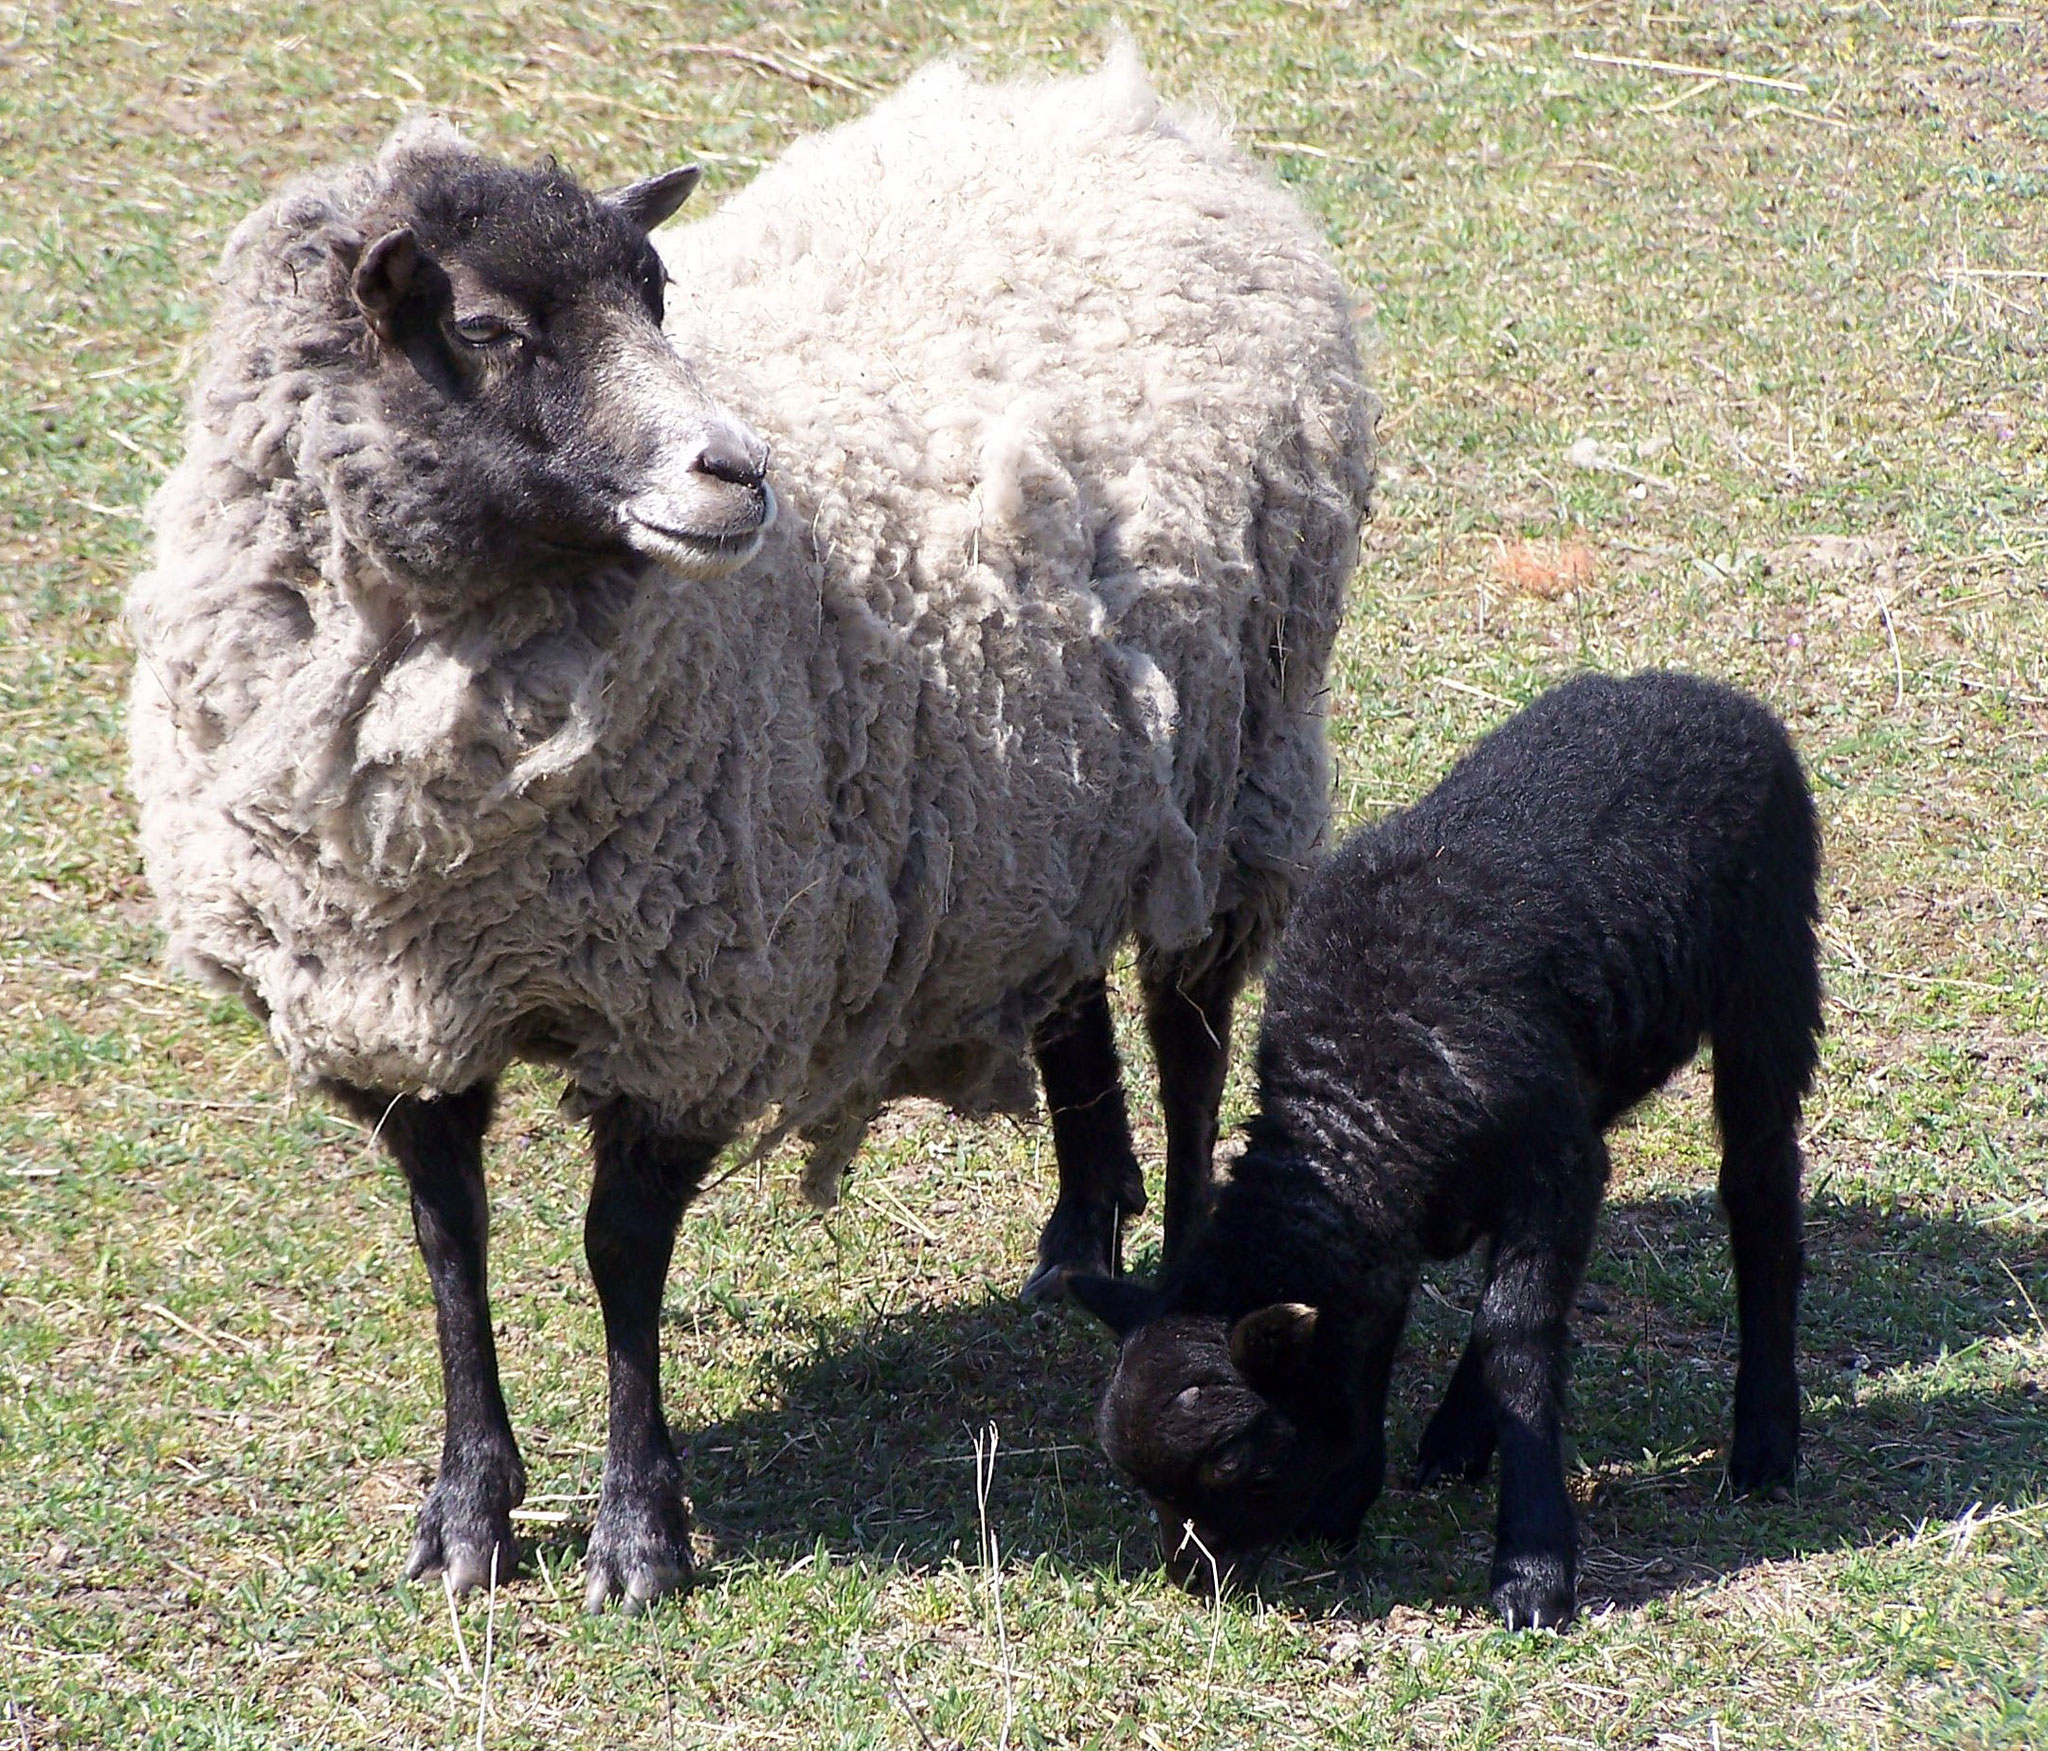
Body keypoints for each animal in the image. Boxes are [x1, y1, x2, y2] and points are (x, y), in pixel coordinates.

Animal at [128, 51, 1376, 1613]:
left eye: (657, 293)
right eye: (482, 328)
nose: (737, 472)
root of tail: (1118, 110)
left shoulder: (686, 1006)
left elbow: (616, 1256)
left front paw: (638, 1531)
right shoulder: (390, 1002)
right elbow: (448, 1245)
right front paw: (468, 1512)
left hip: (1236, 758)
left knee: (1190, 1026)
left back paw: (1177, 1265)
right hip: (1055, 784)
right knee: (1066, 975)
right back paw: (1078, 1229)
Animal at [1073, 671, 1826, 1630]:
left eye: (1235, 1464)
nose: (1194, 1580)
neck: (1359, 1085)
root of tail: (1707, 690)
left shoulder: (1551, 1166)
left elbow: (1514, 1334)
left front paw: (1533, 1566)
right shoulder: (1448, 1192)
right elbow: (1389, 1327)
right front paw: (1349, 1492)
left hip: (1771, 970)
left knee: (1760, 1181)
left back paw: (1766, 1437)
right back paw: (1461, 1434)